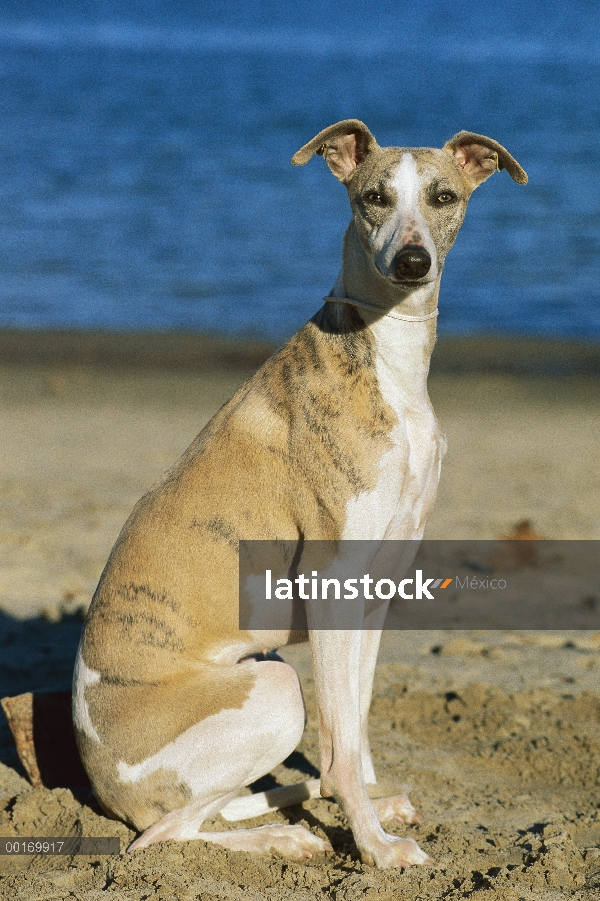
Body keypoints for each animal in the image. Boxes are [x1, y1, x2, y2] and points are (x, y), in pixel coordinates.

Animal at [72, 119, 528, 864]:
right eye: (374, 196)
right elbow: (339, 747)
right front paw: (375, 849)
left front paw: (374, 809)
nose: (412, 262)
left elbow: (358, 720)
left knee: (211, 809)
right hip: (276, 688)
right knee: (162, 834)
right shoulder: (330, 579)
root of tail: (104, 783)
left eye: (444, 196)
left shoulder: (379, 581)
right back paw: (283, 836)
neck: (387, 360)